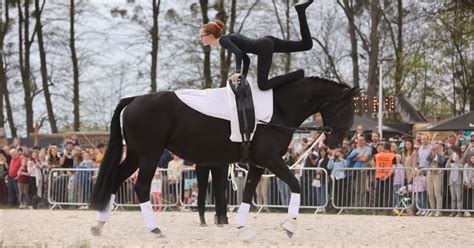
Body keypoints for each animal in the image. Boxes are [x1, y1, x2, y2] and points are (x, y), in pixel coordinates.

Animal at [90, 76, 356, 238]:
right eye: (347, 107)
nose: (335, 142)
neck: (278, 109)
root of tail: (135, 99)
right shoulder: (271, 160)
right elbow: (296, 184)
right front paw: (289, 225)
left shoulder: (258, 165)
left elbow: (247, 195)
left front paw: (242, 228)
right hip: (149, 155)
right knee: (142, 187)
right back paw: (154, 229)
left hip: (136, 155)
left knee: (115, 181)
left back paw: (99, 225)